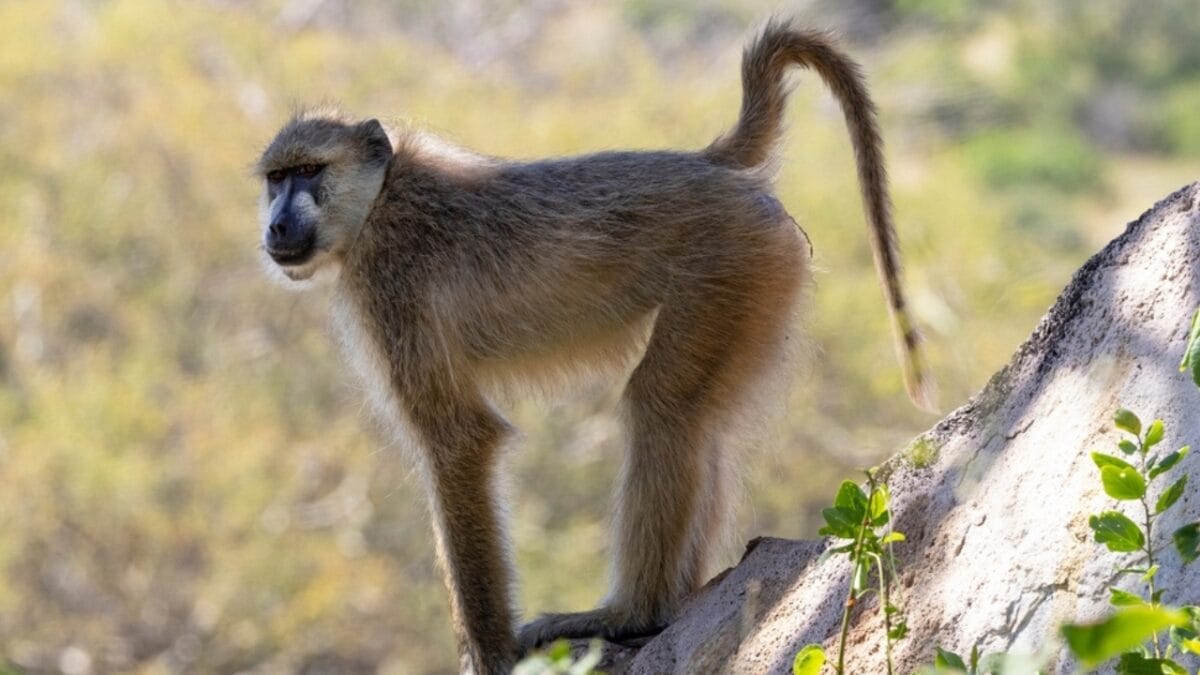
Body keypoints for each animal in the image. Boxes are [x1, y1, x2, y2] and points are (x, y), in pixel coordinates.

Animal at [255, 19, 931, 675]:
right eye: (275, 180)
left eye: (310, 172)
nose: (275, 226)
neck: (379, 200)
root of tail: (704, 165)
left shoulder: (390, 283)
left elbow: (460, 439)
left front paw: (490, 654)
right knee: (699, 423)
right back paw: (672, 605)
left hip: (733, 263)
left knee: (662, 406)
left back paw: (631, 615)